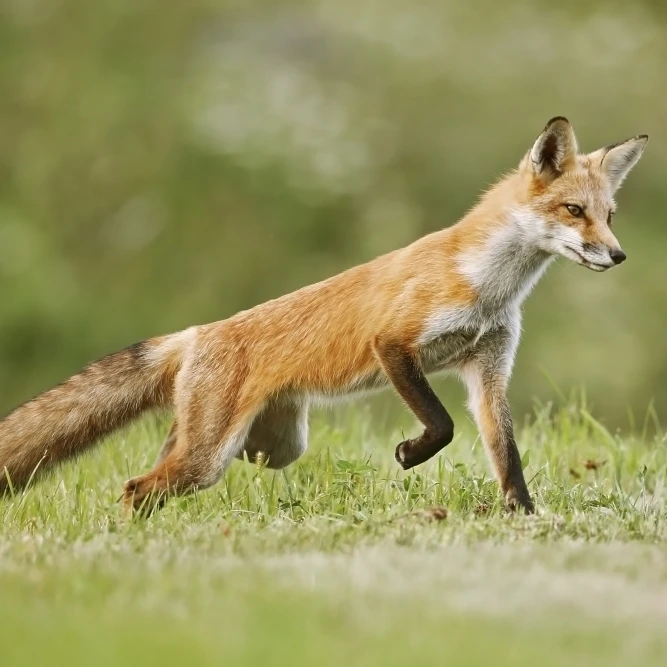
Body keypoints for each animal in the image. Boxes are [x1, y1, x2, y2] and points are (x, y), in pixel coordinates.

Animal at [0, 117, 648, 515]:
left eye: (610, 215)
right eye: (574, 211)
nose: (618, 255)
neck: (489, 285)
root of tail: (196, 333)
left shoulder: (487, 368)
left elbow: (505, 453)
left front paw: (525, 517)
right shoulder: (395, 342)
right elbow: (442, 425)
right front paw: (411, 454)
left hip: (269, 446)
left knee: (164, 465)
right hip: (212, 458)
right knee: (138, 486)